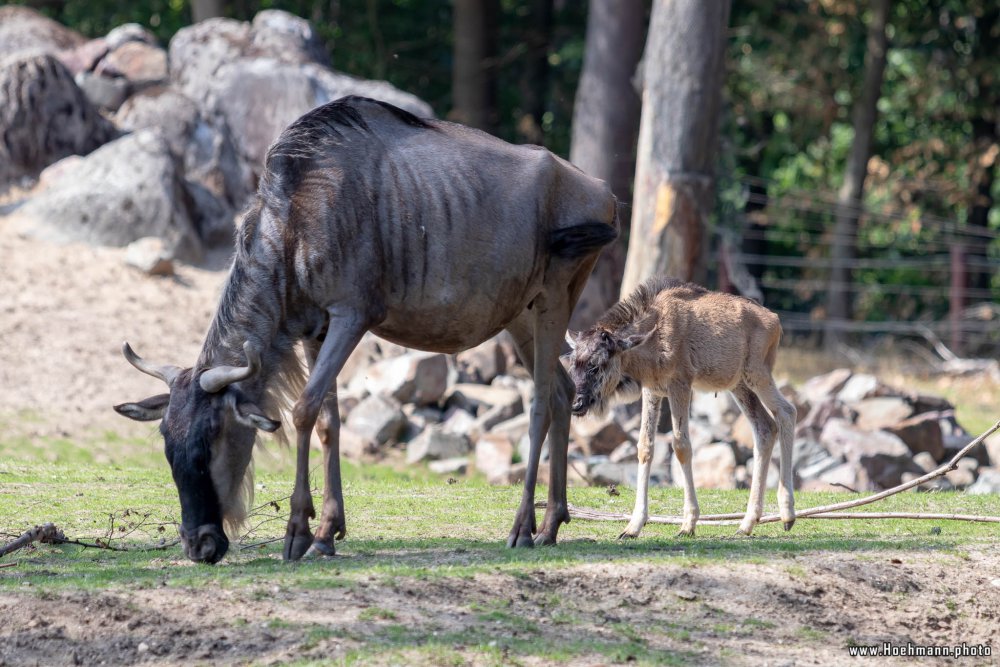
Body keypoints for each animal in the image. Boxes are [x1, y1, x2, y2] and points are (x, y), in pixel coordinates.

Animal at [568, 276, 792, 536]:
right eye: (573, 364)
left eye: (597, 365)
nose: (576, 403)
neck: (652, 338)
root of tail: (775, 320)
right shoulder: (652, 391)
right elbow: (645, 447)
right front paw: (633, 526)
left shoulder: (680, 385)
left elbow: (681, 446)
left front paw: (688, 523)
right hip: (739, 386)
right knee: (765, 428)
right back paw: (747, 523)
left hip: (758, 375)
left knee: (787, 412)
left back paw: (787, 514)